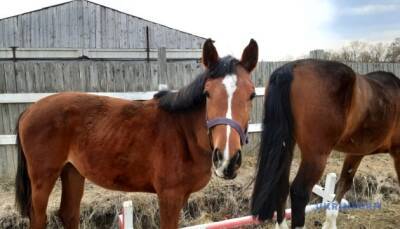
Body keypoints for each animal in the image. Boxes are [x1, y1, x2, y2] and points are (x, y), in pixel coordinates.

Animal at [14, 38, 260, 228]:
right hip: (43, 179)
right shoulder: (169, 196)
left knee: (68, 213)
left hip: (72, 171)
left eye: (252, 95)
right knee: (38, 217)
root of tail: (29, 110)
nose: (227, 159)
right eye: (207, 93)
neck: (184, 132)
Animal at [250, 59, 400, 229]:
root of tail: (290, 68)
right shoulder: (397, 153)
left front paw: (329, 222)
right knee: (299, 192)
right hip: (316, 157)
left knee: (282, 186)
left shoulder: (356, 152)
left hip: (287, 147)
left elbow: (344, 183)